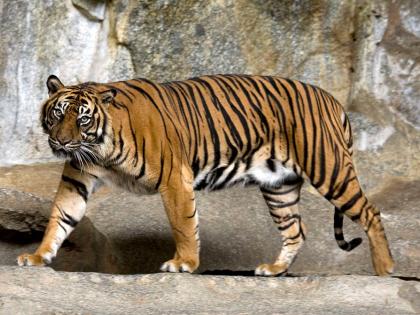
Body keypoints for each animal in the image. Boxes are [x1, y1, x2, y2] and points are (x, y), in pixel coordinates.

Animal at [17, 74, 398, 276]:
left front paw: (184, 263)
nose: (60, 141)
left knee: (370, 213)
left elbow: (183, 224)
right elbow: (60, 219)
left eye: (82, 119)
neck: (100, 149)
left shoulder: (174, 177)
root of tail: (332, 99)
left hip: (328, 168)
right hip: (280, 186)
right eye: (58, 114)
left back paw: (385, 270)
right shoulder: (77, 179)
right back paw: (274, 269)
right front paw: (37, 256)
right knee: (296, 230)